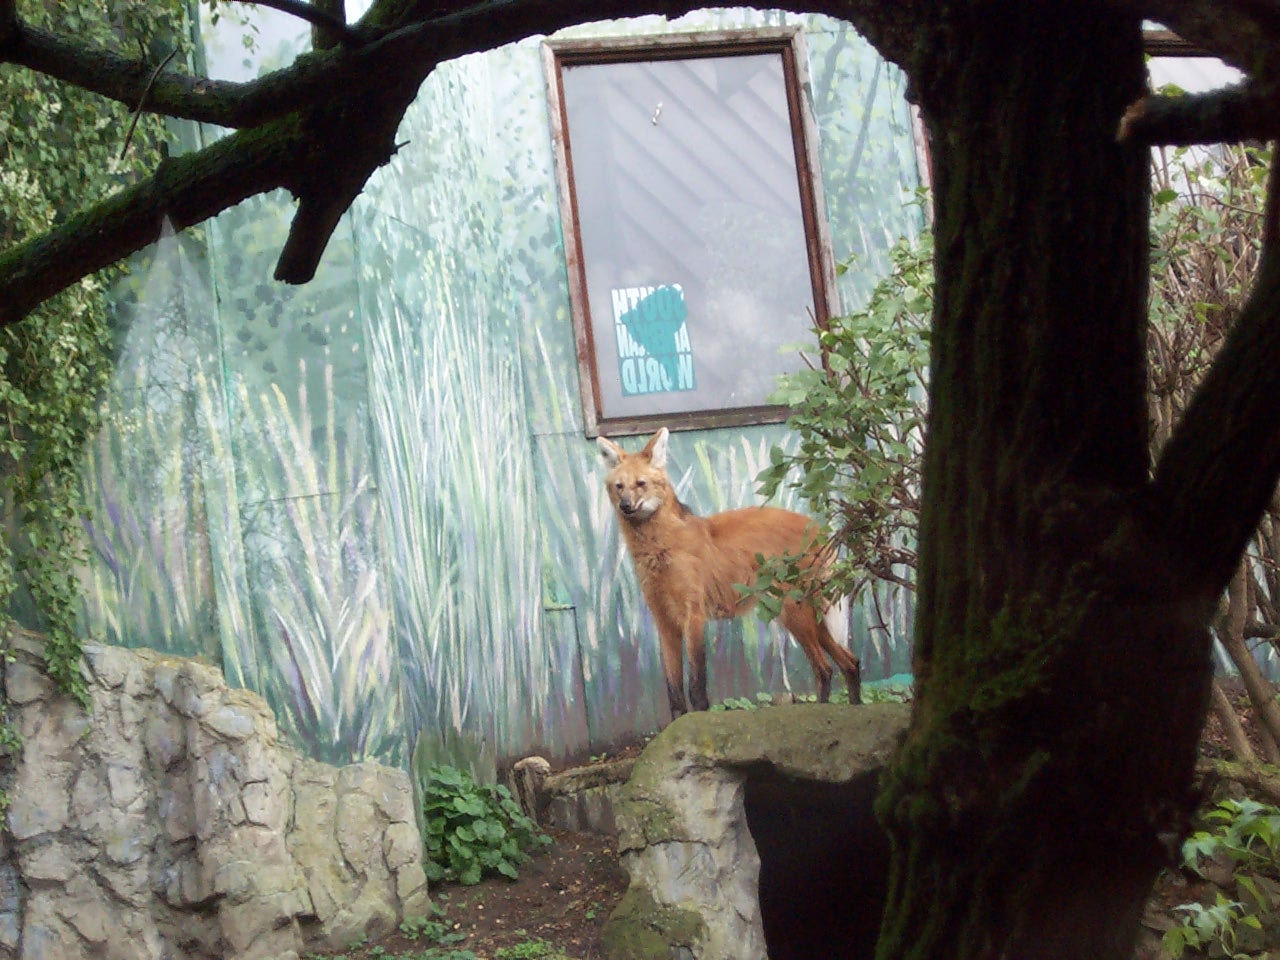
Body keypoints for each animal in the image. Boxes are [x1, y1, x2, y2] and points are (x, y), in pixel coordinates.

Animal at [597, 426, 861, 720]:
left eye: (641, 483)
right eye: (619, 486)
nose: (625, 506)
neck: (660, 547)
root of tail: (819, 527)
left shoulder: (694, 616)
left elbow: (696, 687)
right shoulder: (665, 622)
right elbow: (674, 693)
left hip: (794, 613)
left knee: (825, 669)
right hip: (807, 616)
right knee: (849, 663)